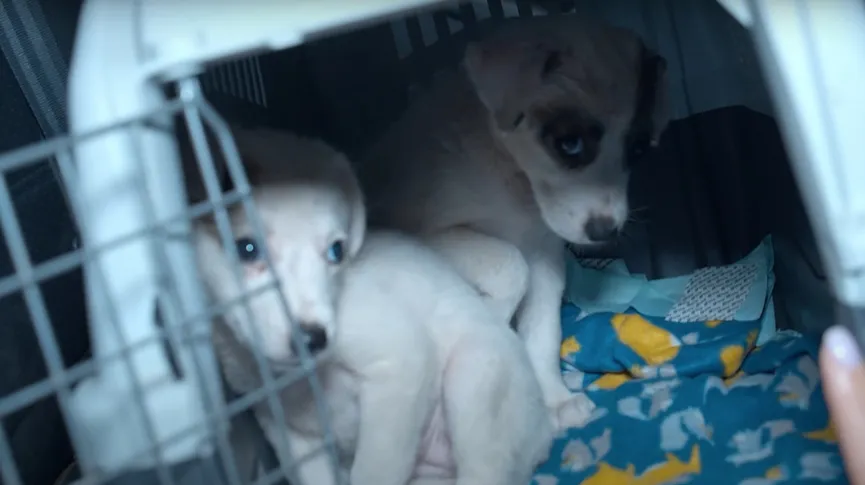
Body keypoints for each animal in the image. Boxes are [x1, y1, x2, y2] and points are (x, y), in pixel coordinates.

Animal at [189, 125, 552, 484]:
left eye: (337, 251)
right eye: (247, 248)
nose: (312, 339)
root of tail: (545, 432)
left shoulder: (400, 363)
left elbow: (375, 469)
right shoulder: (285, 429)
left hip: (476, 377)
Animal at [358, 16, 668, 432]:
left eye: (637, 148)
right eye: (569, 144)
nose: (606, 232)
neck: (513, 183)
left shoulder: (545, 254)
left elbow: (542, 329)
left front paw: (554, 399)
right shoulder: (426, 234)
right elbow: (508, 264)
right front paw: (486, 323)